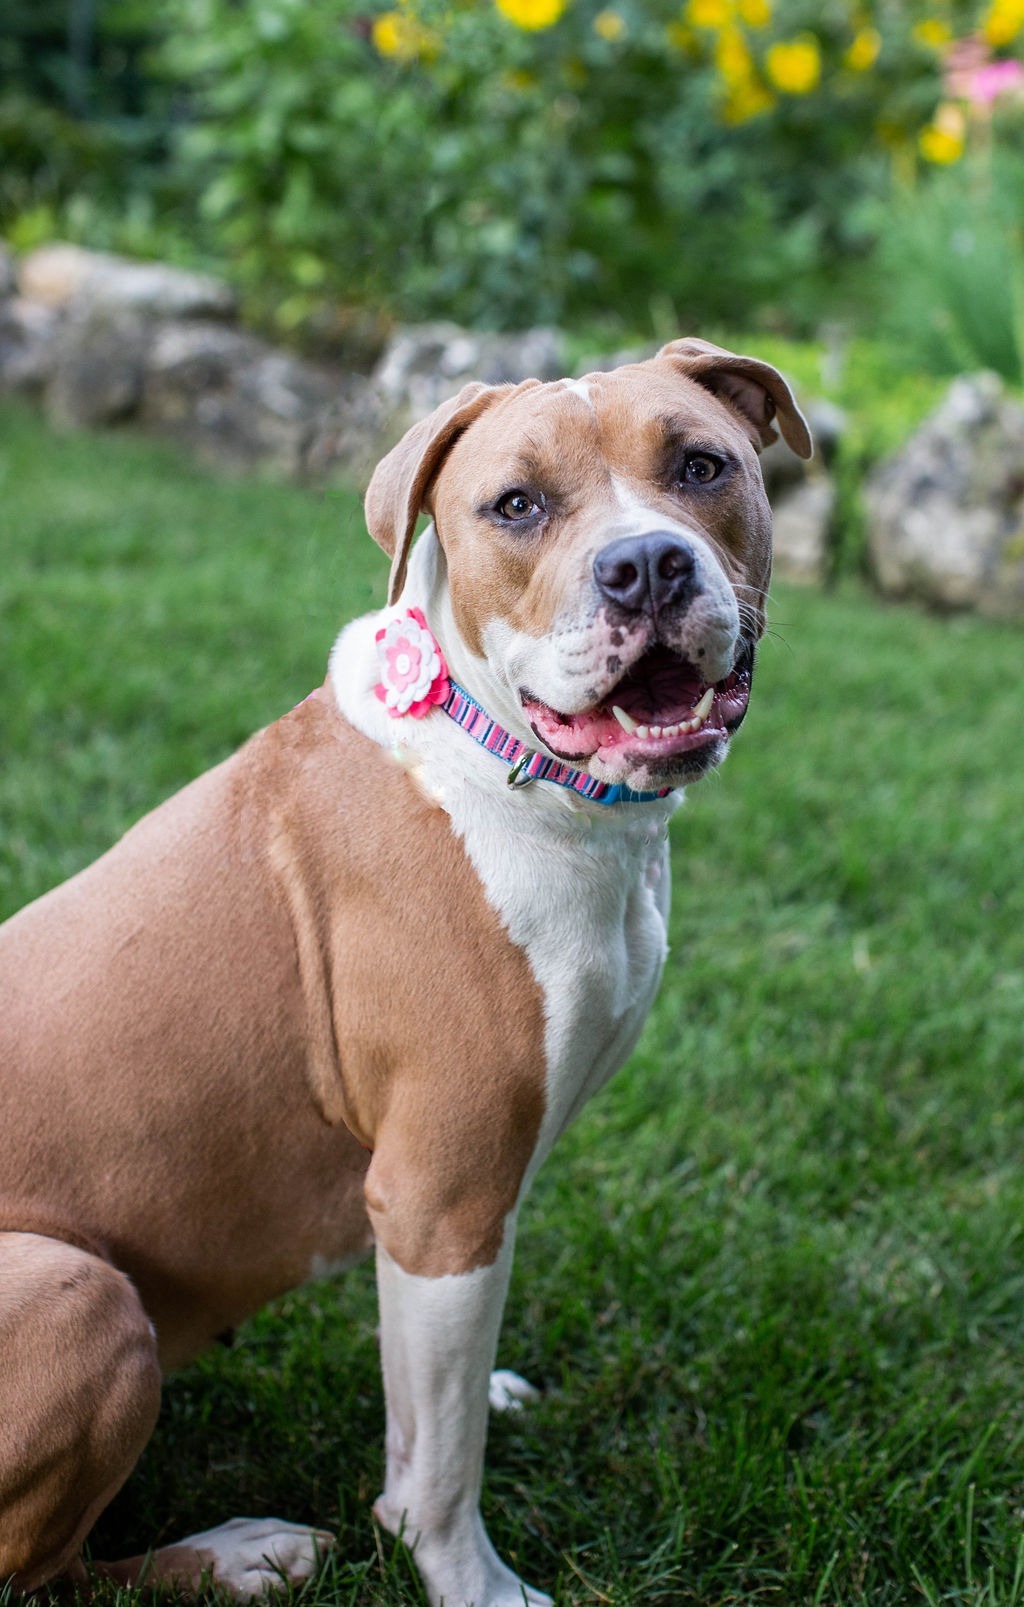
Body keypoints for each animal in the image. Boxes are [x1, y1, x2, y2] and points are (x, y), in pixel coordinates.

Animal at [1, 339, 806, 1607]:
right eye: (514, 504)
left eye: (700, 464)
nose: (644, 567)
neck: (520, 773)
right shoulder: (441, 1188)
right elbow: (435, 1472)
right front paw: (471, 1581)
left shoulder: (459, 1207)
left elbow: (430, 1391)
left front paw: (482, 1390)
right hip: (75, 1293)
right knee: (46, 1568)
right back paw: (238, 1554)